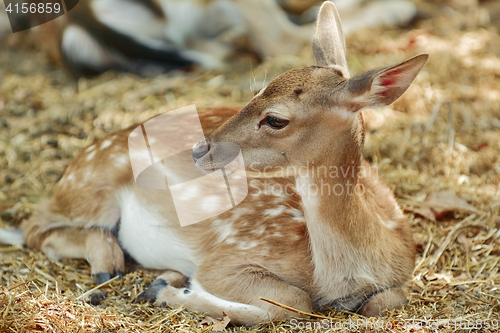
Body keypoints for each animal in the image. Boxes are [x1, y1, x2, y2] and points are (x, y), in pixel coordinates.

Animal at [1, 2, 428, 324]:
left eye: (276, 118)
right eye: (255, 90)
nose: (199, 149)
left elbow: (383, 302)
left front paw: (167, 285)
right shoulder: (226, 258)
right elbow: (293, 301)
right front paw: (165, 291)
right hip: (92, 183)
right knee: (36, 226)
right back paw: (112, 263)